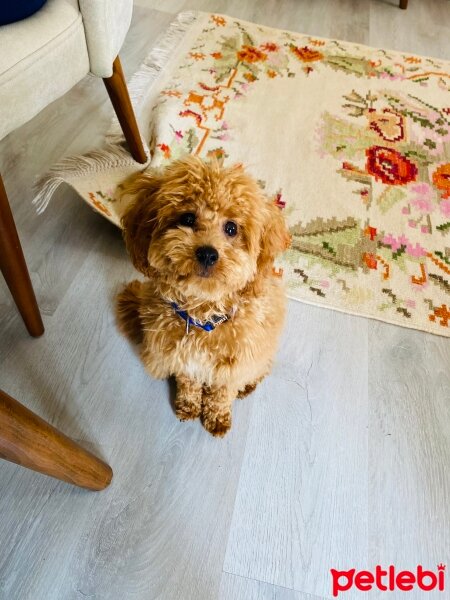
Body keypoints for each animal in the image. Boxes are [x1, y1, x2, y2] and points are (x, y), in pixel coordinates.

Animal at [117, 155, 288, 436]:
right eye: (187, 218)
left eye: (231, 228)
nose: (207, 253)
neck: (203, 315)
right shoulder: (183, 360)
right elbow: (189, 385)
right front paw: (188, 406)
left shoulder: (232, 368)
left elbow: (221, 395)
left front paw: (217, 418)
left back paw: (248, 386)